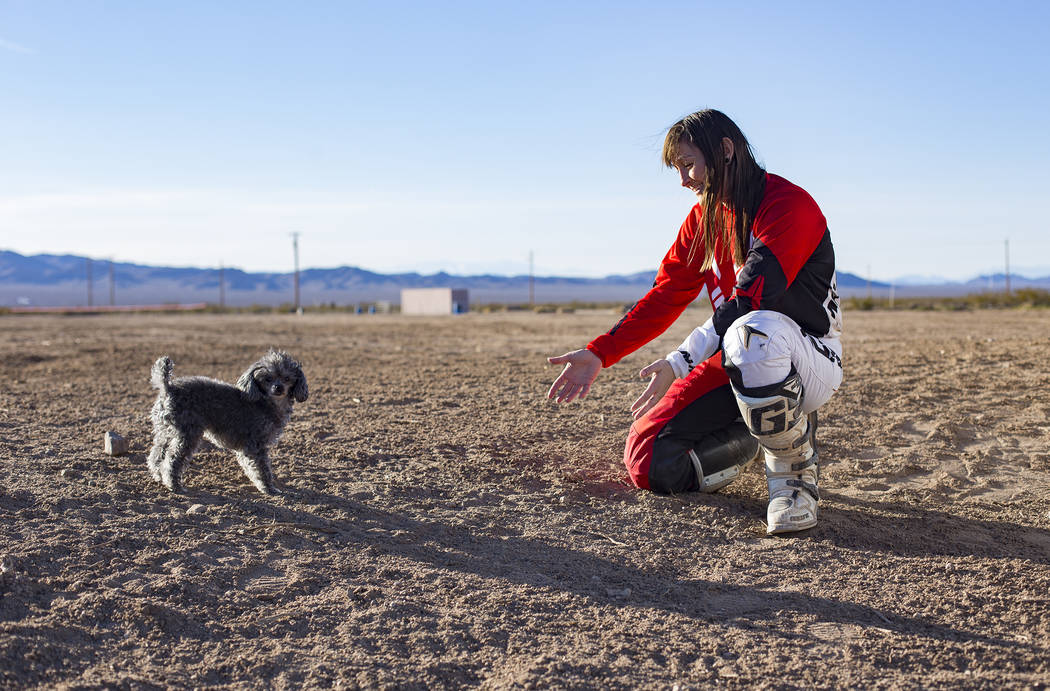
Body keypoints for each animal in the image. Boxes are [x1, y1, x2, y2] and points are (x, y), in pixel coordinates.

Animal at [150, 352, 308, 491]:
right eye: (267, 379)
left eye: (287, 378)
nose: (278, 388)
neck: (266, 403)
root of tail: (168, 387)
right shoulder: (255, 445)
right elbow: (261, 469)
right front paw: (268, 488)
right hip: (188, 434)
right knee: (172, 460)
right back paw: (174, 485)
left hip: (165, 432)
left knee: (156, 455)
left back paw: (159, 477)